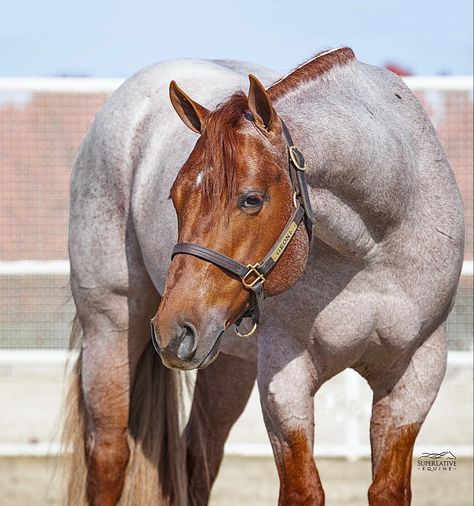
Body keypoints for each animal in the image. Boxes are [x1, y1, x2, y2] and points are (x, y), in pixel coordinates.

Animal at [64, 47, 462, 506]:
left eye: (251, 199)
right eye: (174, 197)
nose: (172, 330)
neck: (375, 248)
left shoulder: (416, 376)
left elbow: (388, 489)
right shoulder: (285, 379)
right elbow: (303, 490)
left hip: (224, 360)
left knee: (197, 455)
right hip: (109, 328)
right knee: (109, 455)